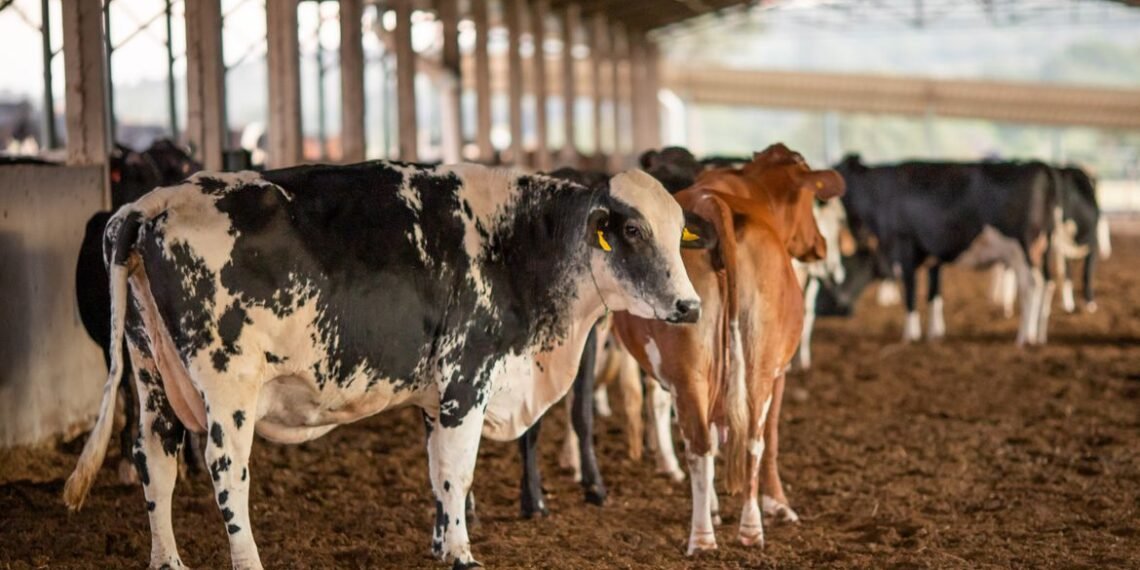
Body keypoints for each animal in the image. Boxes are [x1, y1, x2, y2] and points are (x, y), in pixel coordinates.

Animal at [63, 161, 699, 569]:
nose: (690, 306)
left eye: (678, 232)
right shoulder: (467, 377)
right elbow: (458, 470)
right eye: (634, 229)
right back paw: (247, 559)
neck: (516, 243)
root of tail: (149, 204)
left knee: (156, 460)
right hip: (228, 386)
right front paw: (463, 554)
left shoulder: (435, 393)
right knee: (226, 472)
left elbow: (438, 471)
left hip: (151, 373)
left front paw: (443, 545)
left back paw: (167, 561)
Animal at [614, 145, 844, 554]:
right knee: (743, 440)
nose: (819, 245)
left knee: (713, 442)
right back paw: (722, 532)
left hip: (697, 371)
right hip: (755, 369)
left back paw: (725, 531)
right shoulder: (779, 372)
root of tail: (713, 204)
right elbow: (771, 439)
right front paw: (778, 505)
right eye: (809, 202)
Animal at [834, 155, 1058, 345]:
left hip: (1023, 248)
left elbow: (910, 292)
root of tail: (1037, 165)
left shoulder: (904, 246)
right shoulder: (933, 255)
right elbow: (934, 294)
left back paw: (1024, 337)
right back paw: (1039, 335)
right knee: (1047, 283)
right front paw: (935, 334)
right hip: (1042, 247)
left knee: (1031, 285)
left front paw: (910, 335)